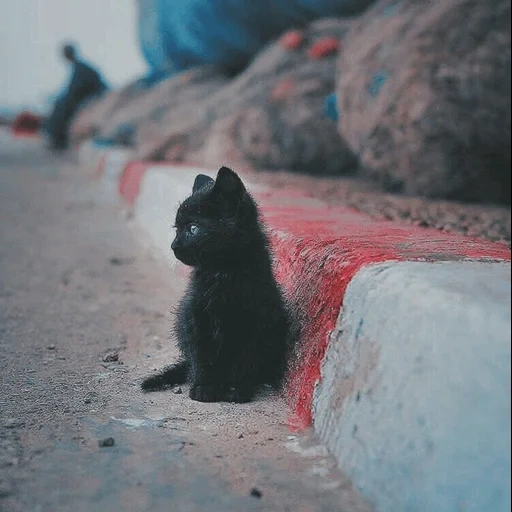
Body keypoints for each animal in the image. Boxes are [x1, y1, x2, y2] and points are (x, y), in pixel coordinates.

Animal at [140, 166, 292, 402]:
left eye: (193, 229)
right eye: (176, 228)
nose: (174, 246)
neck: (223, 272)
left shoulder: (257, 320)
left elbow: (245, 358)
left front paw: (236, 389)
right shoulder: (196, 315)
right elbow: (203, 355)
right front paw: (204, 387)